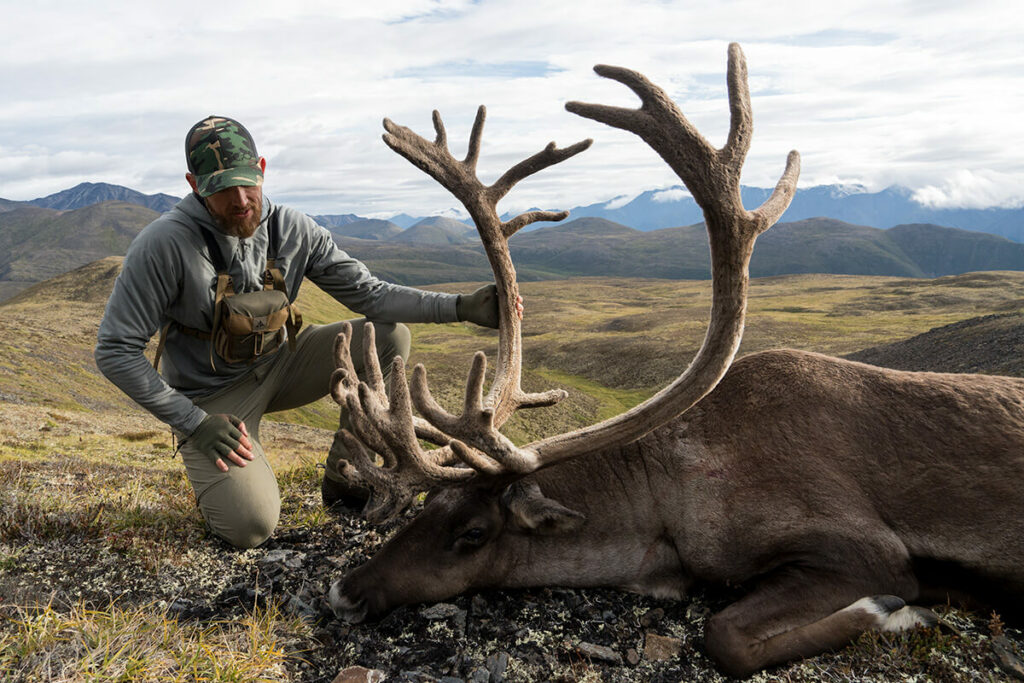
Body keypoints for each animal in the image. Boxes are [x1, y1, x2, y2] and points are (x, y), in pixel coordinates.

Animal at [321, 44, 1024, 679]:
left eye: (472, 532)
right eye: (424, 509)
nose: (343, 592)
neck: (666, 506)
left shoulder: (866, 549)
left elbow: (728, 636)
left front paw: (898, 612)